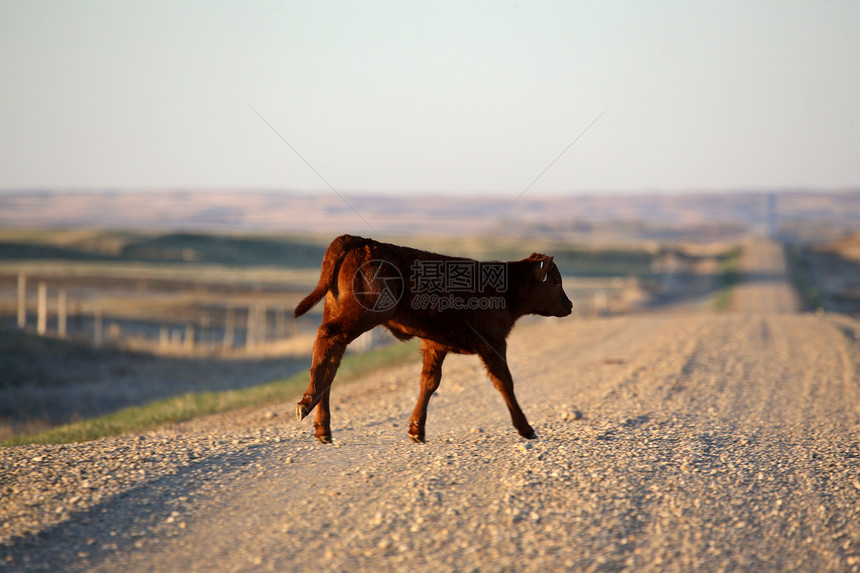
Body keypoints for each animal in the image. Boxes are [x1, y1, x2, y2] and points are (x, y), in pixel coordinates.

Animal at [292, 232, 576, 442]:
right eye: (555, 282)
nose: (570, 305)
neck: (506, 289)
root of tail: (360, 241)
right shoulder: (493, 343)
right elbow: (504, 382)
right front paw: (525, 428)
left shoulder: (435, 344)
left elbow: (429, 382)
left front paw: (416, 429)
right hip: (362, 314)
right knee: (329, 338)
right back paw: (306, 403)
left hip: (339, 310)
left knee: (332, 360)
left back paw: (322, 427)